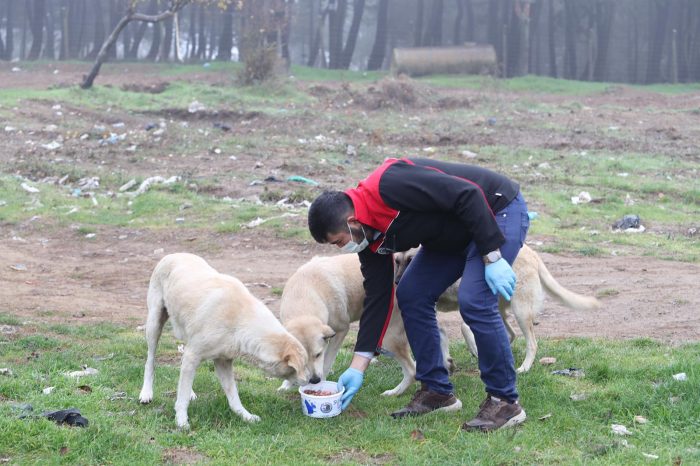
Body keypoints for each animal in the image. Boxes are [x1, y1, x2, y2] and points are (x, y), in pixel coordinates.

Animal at [138, 253, 310, 429]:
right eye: (301, 366)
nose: (313, 380)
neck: (241, 319)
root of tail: (173, 254)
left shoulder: (223, 362)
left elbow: (233, 396)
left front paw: (245, 416)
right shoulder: (194, 355)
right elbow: (182, 397)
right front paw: (181, 421)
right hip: (154, 324)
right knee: (150, 361)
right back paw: (146, 393)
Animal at [393, 244, 602, 373]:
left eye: (411, 260)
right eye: (396, 261)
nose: (397, 283)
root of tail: (534, 255)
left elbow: (460, 328)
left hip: (520, 311)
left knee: (531, 343)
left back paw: (524, 368)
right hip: (500, 309)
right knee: (510, 334)